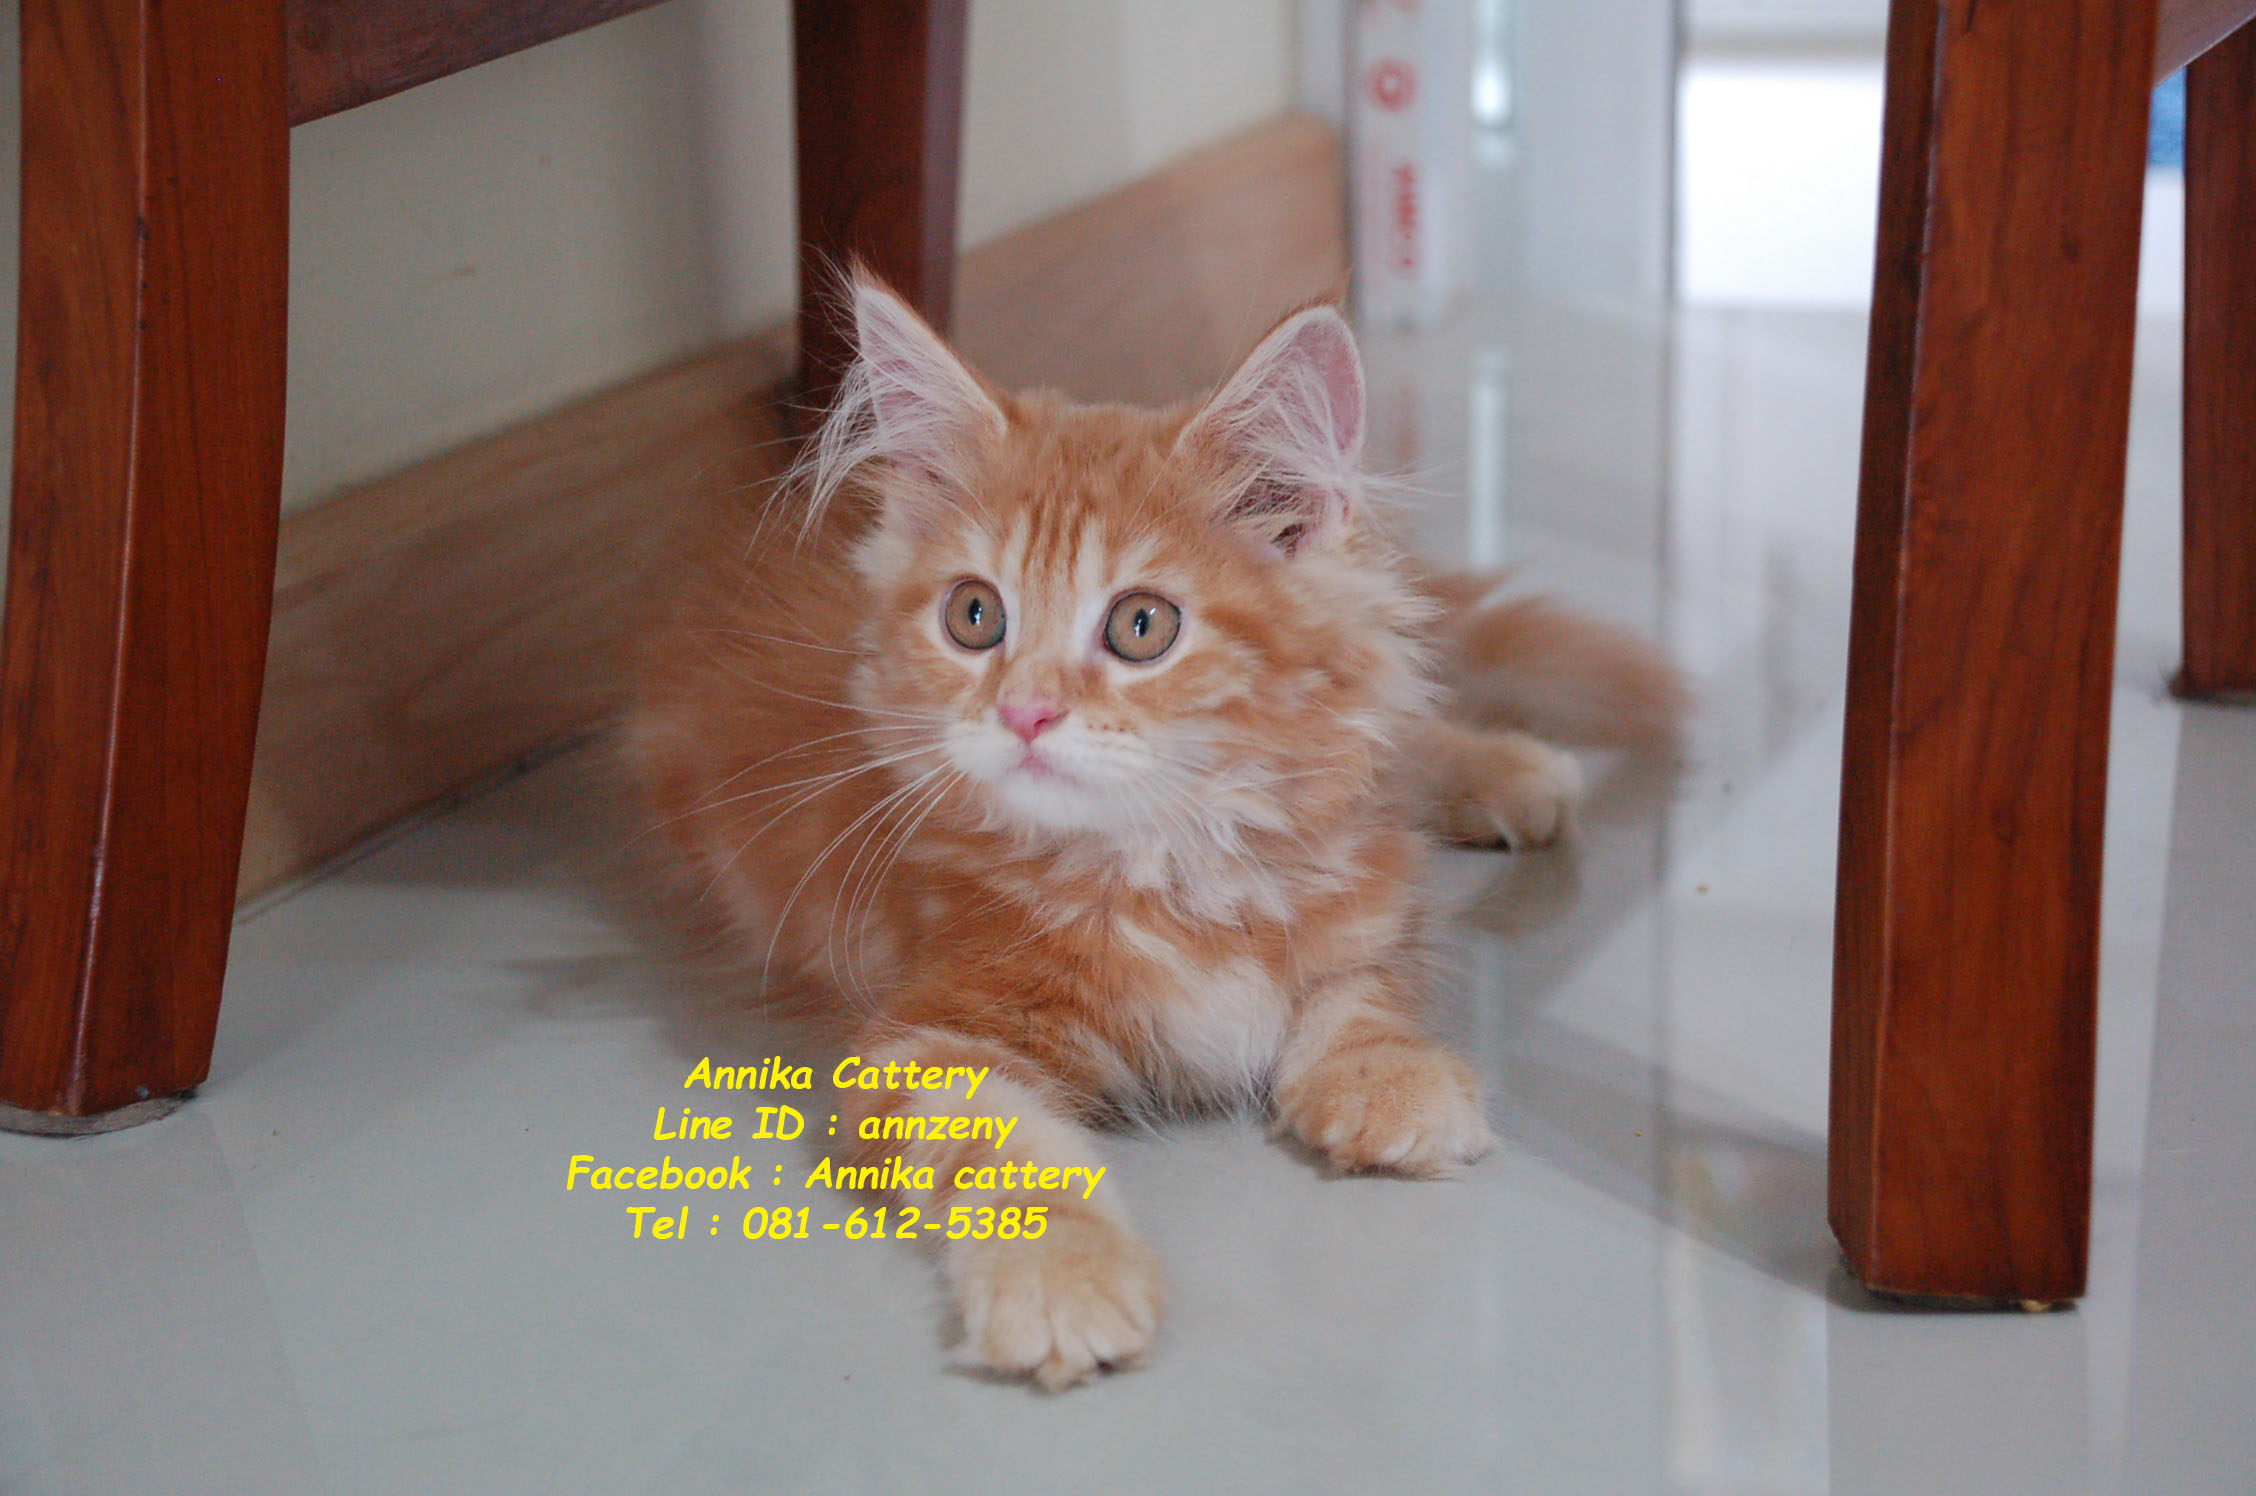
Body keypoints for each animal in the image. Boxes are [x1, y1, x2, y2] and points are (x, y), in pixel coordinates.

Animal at [627, 273, 1686, 1391]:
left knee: (1399, 725)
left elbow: (1364, 985)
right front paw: (1064, 1279)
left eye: (1142, 626)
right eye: (973, 615)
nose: (1025, 713)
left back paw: (1512, 769)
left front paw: (1385, 1074)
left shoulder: (1368, 888)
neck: (1175, 862)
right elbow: (1013, 1160)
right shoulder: (927, 1041)